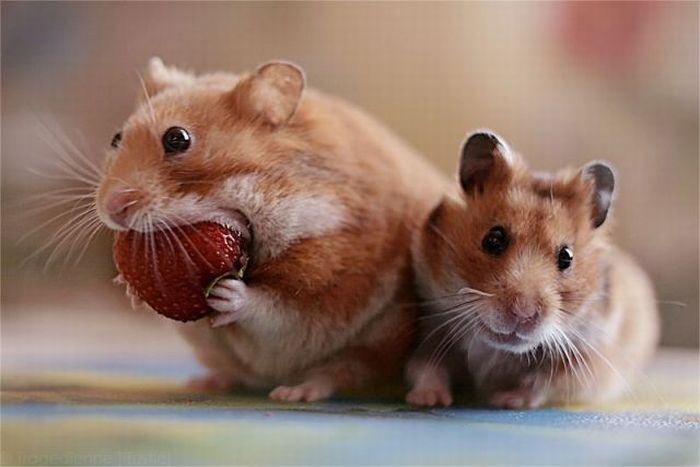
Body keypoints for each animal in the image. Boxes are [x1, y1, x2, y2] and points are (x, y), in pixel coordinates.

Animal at [96, 58, 447, 401]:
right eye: (116, 139)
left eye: (177, 138)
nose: (112, 209)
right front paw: (130, 290)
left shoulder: (324, 284)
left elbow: (274, 310)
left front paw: (228, 294)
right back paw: (204, 383)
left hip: (375, 342)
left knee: (339, 374)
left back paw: (294, 393)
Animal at [406, 131, 659, 408]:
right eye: (493, 239)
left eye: (567, 257)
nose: (523, 313)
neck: (497, 351)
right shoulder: (431, 331)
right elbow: (426, 368)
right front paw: (428, 400)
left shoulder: (586, 360)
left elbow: (541, 384)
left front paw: (504, 400)